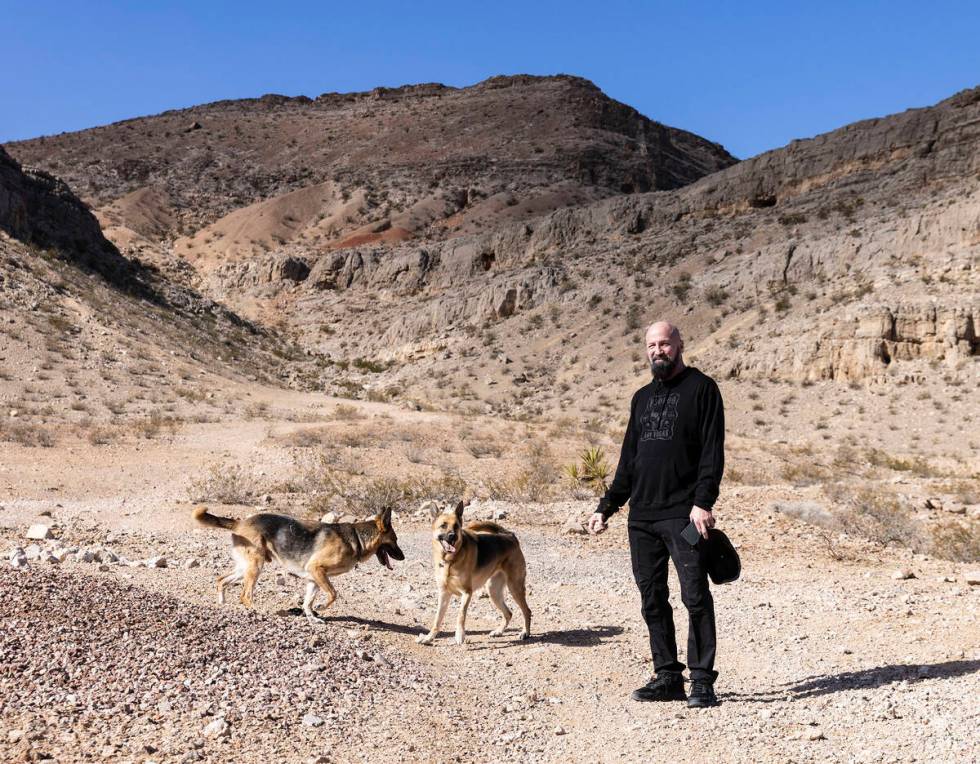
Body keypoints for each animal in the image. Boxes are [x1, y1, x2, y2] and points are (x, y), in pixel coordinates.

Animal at [193, 504, 404, 624]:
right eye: (395, 540)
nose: (403, 557)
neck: (357, 538)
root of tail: (239, 522)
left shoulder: (314, 578)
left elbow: (307, 602)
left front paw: (312, 617)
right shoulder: (317, 570)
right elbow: (333, 594)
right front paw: (321, 607)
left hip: (244, 567)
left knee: (221, 580)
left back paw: (222, 604)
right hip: (255, 566)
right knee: (245, 595)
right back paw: (258, 610)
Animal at [418, 502, 532, 644]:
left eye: (456, 526)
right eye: (443, 525)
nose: (452, 536)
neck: (450, 561)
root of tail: (510, 536)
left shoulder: (467, 593)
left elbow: (461, 615)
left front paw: (459, 635)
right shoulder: (444, 594)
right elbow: (437, 619)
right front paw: (429, 638)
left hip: (515, 588)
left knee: (527, 611)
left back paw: (525, 632)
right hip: (493, 591)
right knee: (508, 613)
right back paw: (499, 631)